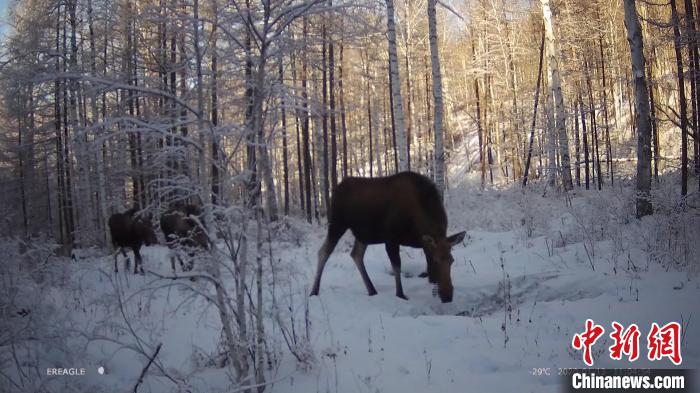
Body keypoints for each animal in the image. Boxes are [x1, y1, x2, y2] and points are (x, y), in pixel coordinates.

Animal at [310, 170, 464, 302]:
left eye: (452, 260)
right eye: (436, 261)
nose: (448, 295)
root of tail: (336, 189)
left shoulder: (424, 244)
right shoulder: (391, 239)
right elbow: (397, 267)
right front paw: (400, 294)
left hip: (363, 234)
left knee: (356, 254)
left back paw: (372, 289)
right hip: (337, 223)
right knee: (324, 251)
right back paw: (314, 291)